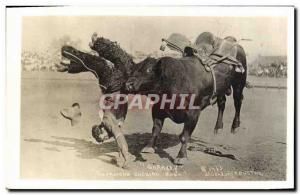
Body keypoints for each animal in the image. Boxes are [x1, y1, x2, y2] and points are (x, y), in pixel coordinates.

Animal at [56, 32, 246, 167]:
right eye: (135, 69)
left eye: (148, 71)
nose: (128, 84)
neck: (173, 82)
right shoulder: (158, 109)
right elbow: (156, 129)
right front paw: (148, 147)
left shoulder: (194, 113)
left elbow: (185, 136)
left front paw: (181, 157)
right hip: (221, 89)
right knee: (222, 103)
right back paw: (218, 128)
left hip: (239, 83)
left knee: (237, 102)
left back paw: (235, 126)